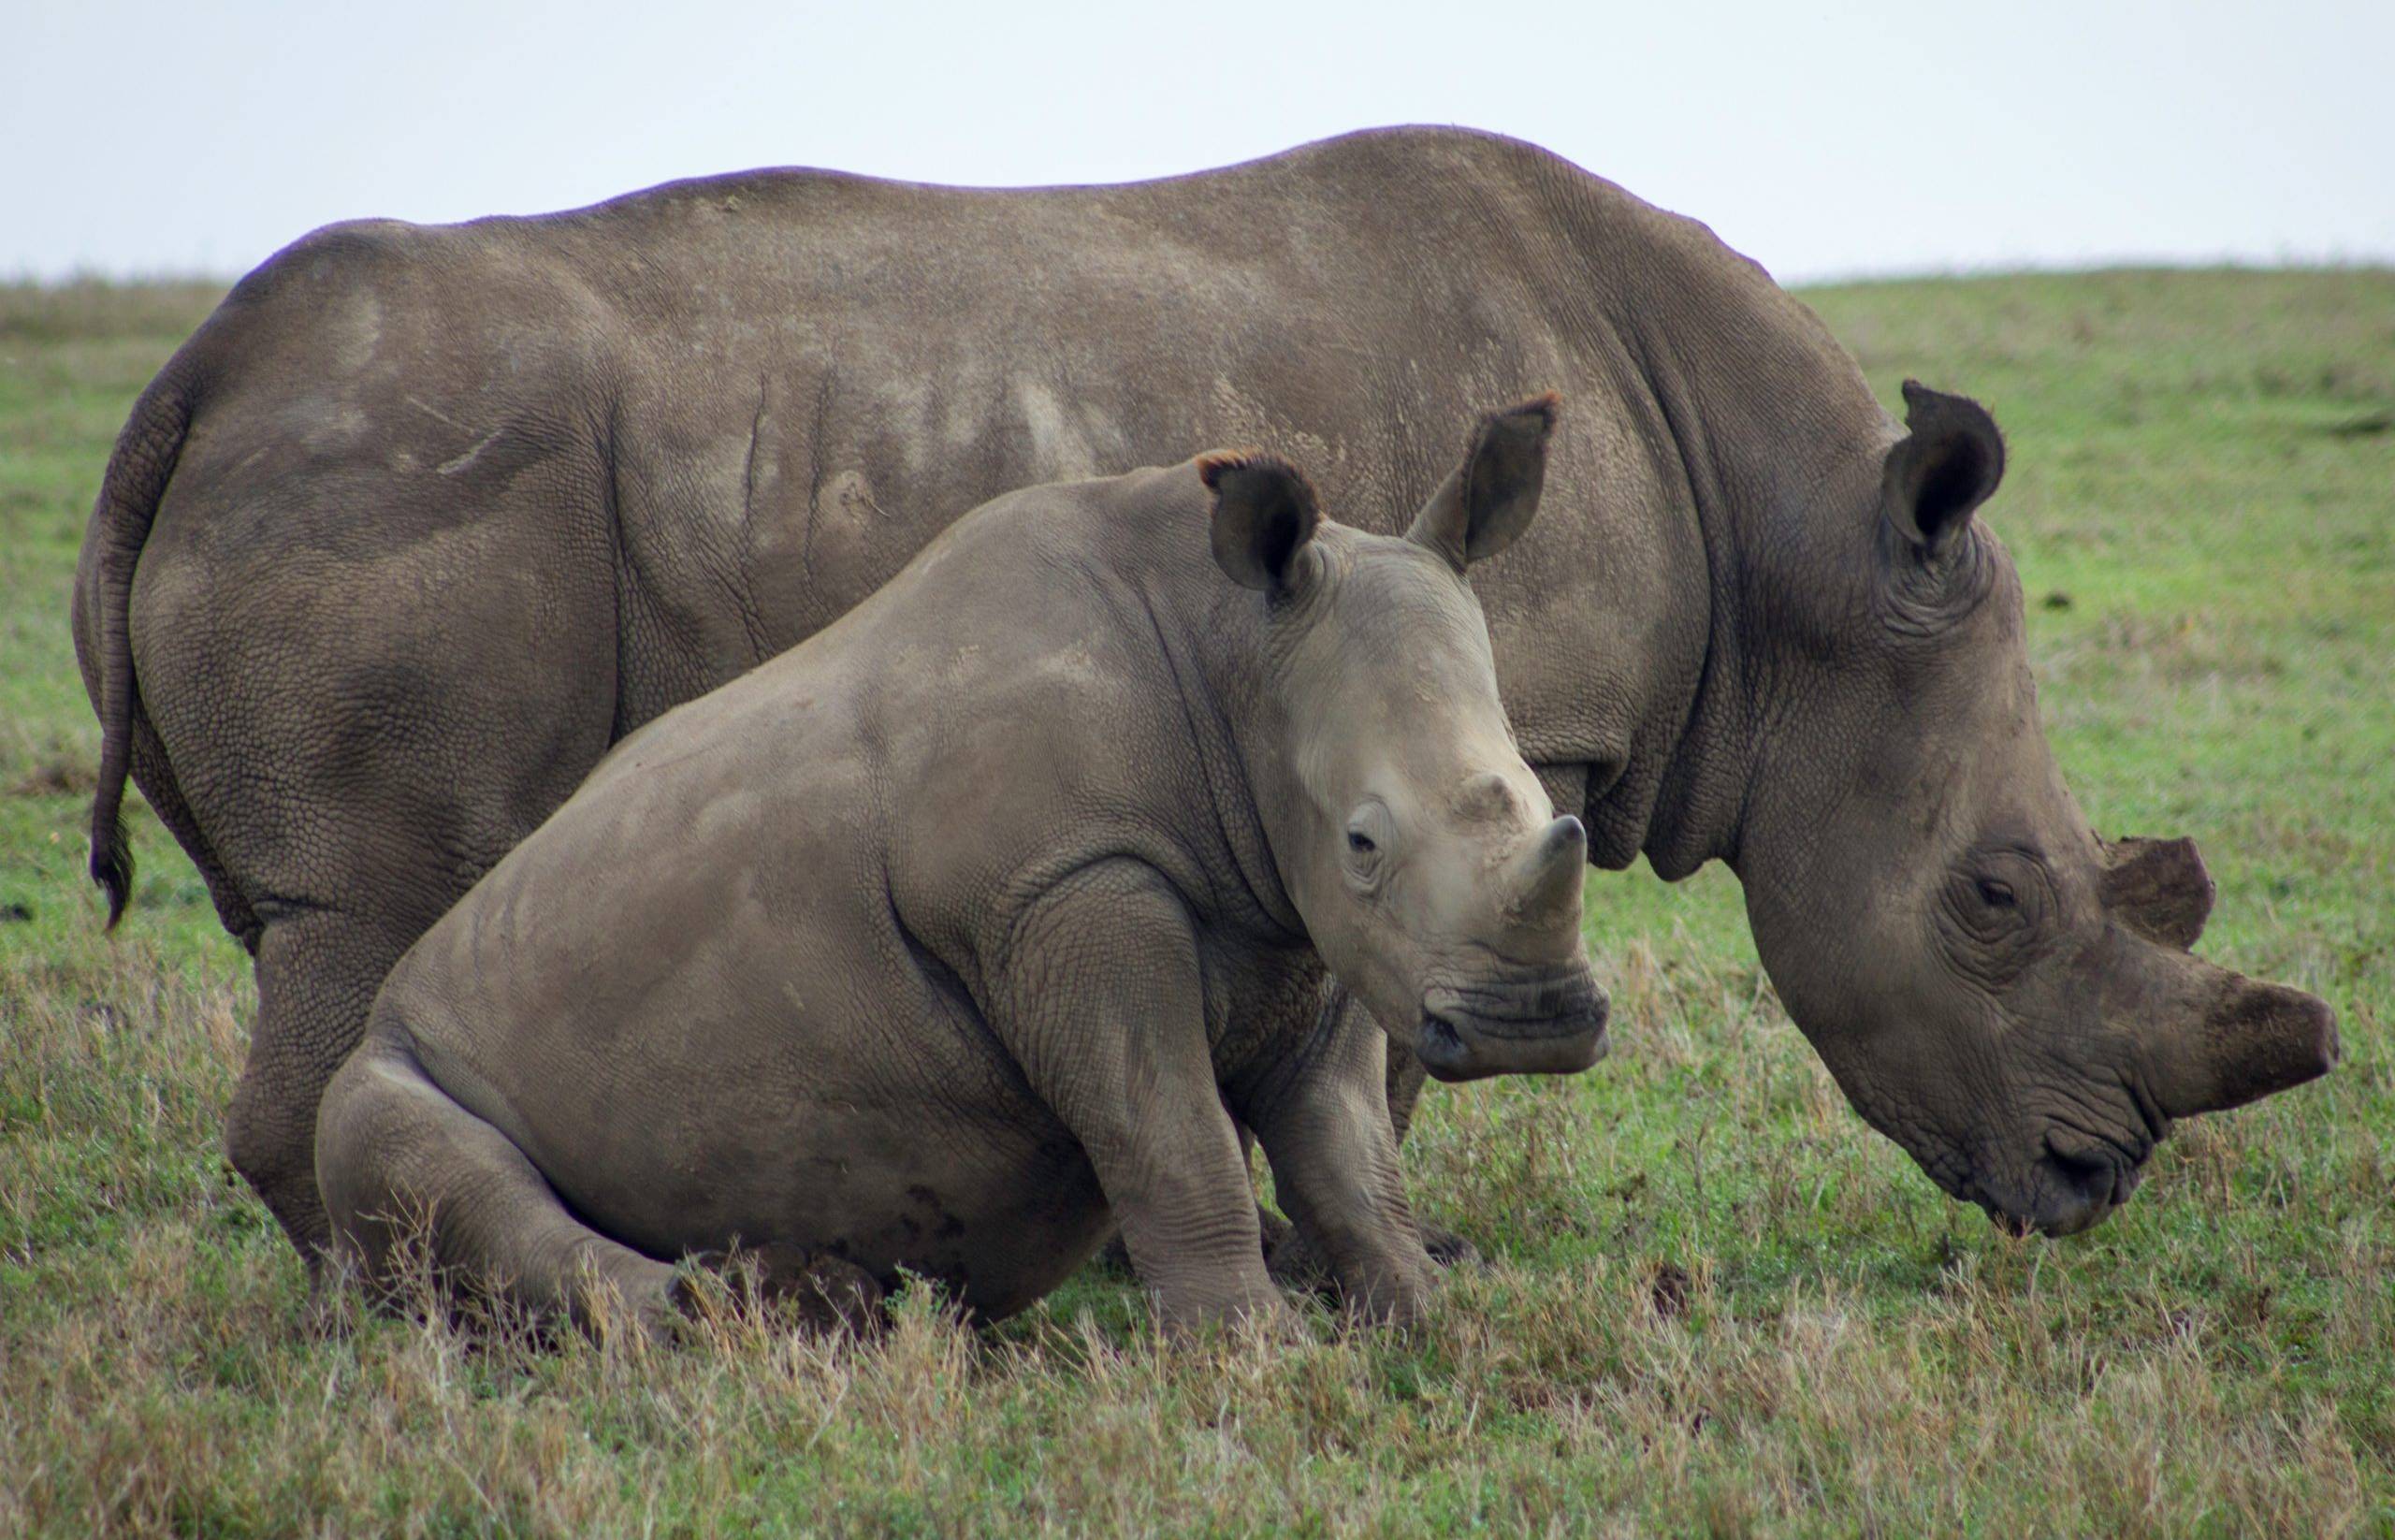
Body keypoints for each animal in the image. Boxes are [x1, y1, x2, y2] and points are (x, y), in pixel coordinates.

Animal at [313, 397, 1609, 1341]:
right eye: (1364, 841)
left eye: (1553, 803)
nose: (1536, 1024)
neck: (1237, 656)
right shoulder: (1061, 888)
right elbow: (1171, 1129)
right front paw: (1252, 1353)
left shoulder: (1304, 923)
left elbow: (1345, 1148)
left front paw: (1435, 1323)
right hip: (396, 1048)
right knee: (409, 1144)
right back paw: (697, 1317)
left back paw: (812, 1298)